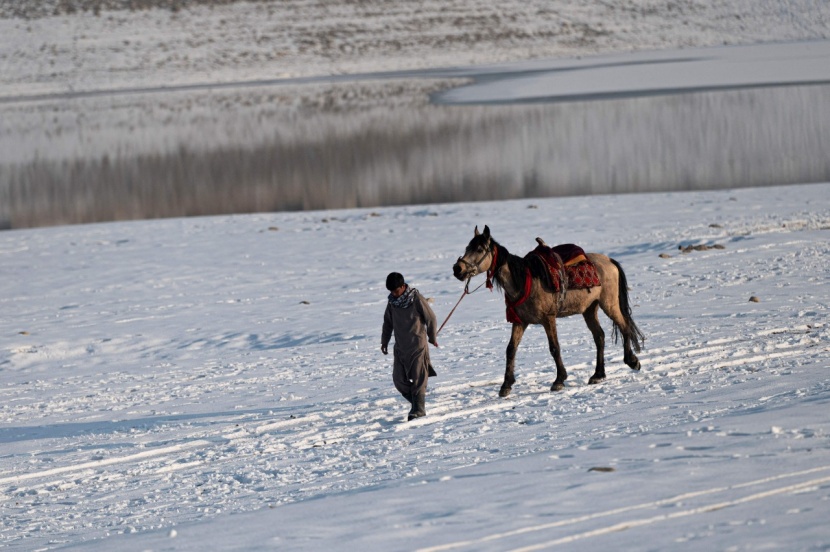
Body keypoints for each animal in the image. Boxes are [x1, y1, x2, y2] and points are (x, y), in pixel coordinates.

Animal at [456, 225, 644, 396]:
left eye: (479, 249)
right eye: (467, 248)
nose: (457, 269)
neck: (524, 282)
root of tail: (610, 261)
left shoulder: (548, 318)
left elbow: (554, 347)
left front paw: (559, 380)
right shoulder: (520, 322)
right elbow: (511, 349)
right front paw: (506, 385)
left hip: (609, 304)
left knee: (624, 327)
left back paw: (632, 361)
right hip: (590, 309)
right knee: (599, 336)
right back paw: (598, 375)